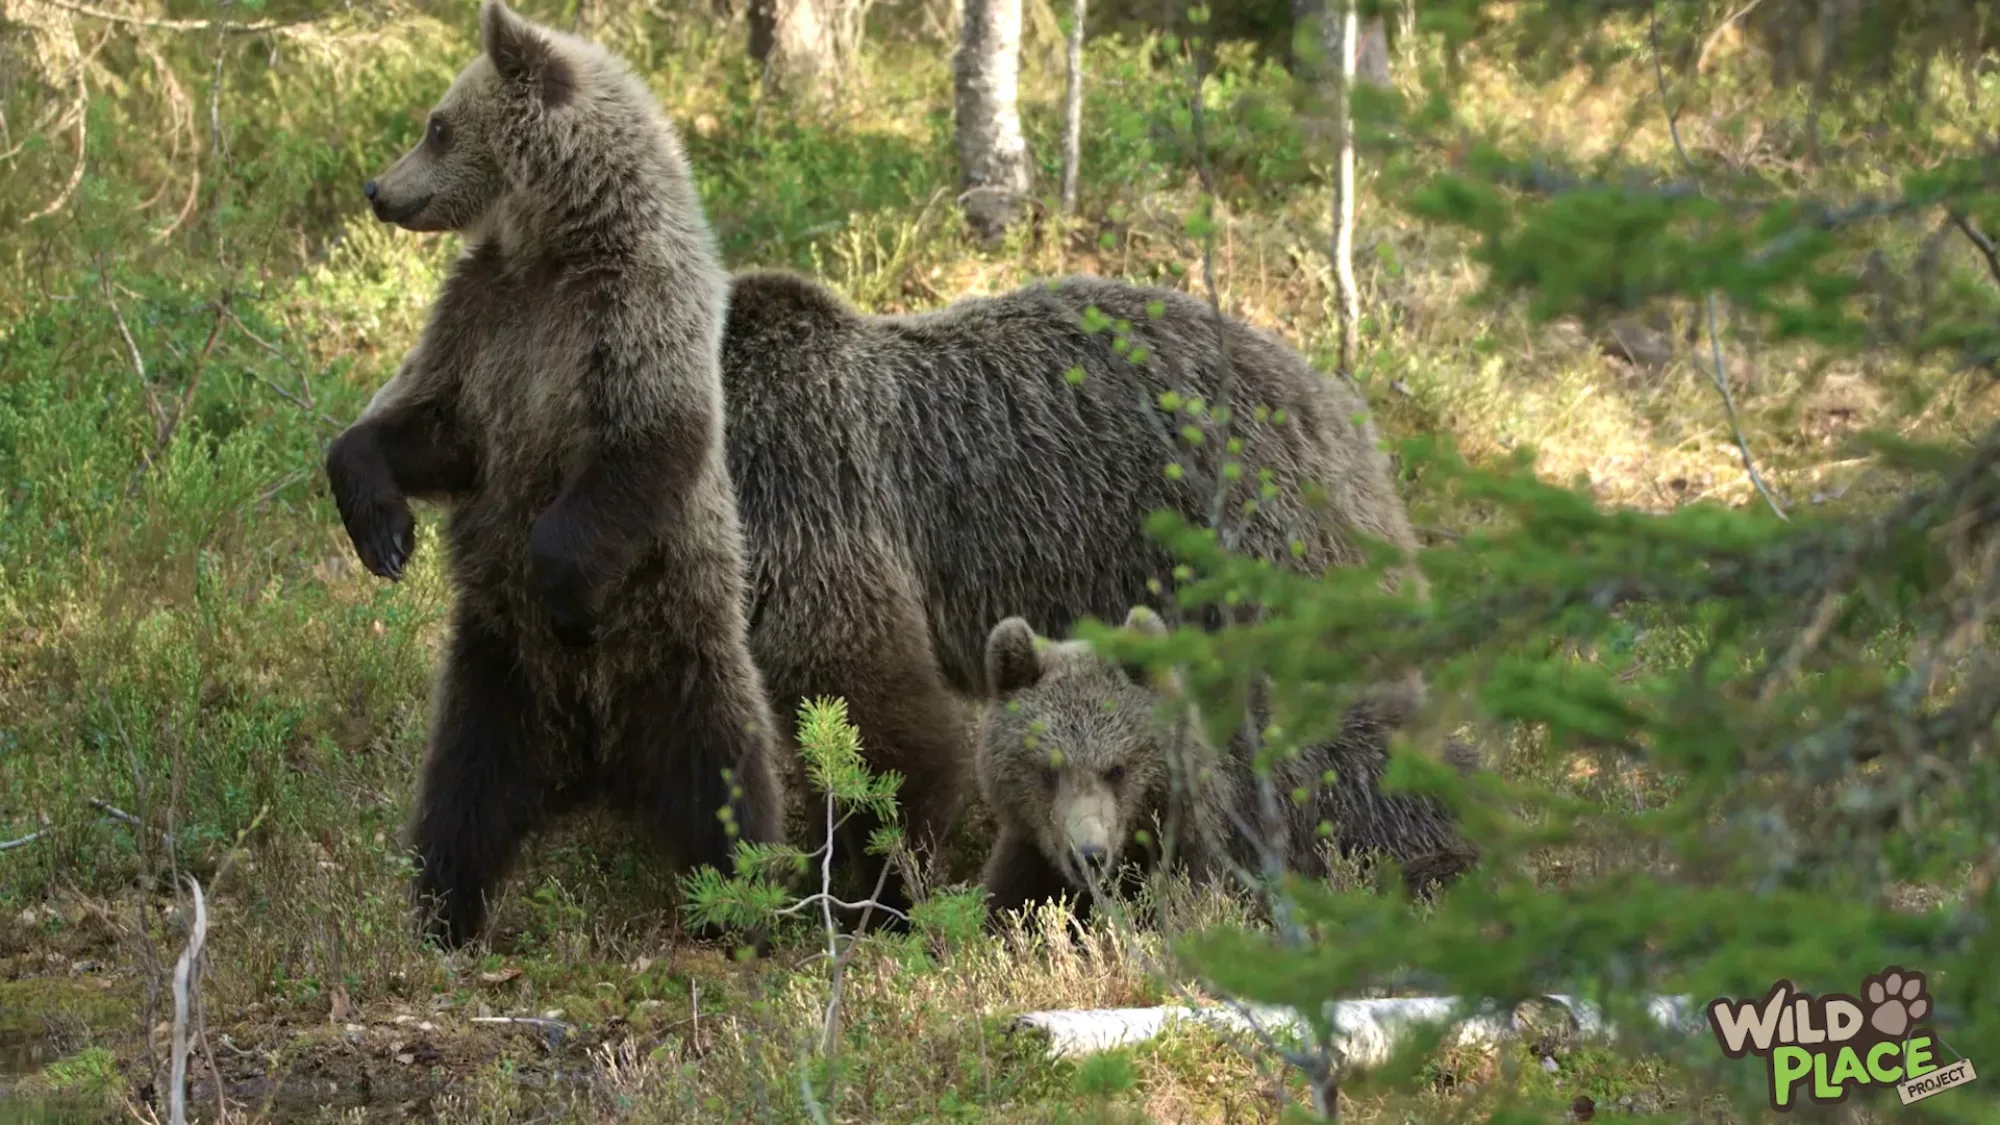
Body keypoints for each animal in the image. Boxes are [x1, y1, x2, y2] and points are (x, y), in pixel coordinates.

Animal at [322, 0, 787, 949]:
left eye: (436, 122)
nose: (378, 189)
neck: (557, 240)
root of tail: (596, 761)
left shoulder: (628, 316)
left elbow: (639, 450)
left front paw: (568, 592)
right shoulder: (488, 322)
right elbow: (434, 427)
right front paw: (381, 527)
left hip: (682, 653)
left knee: (729, 782)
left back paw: (748, 908)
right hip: (495, 673)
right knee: (461, 793)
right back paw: (441, 913)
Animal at [974, 606, 1479, 922]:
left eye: (1116, 768)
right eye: (1047, 770)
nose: (1089, 855)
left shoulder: (1220, 844)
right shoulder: (1031, 850)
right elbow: (1007, 909)